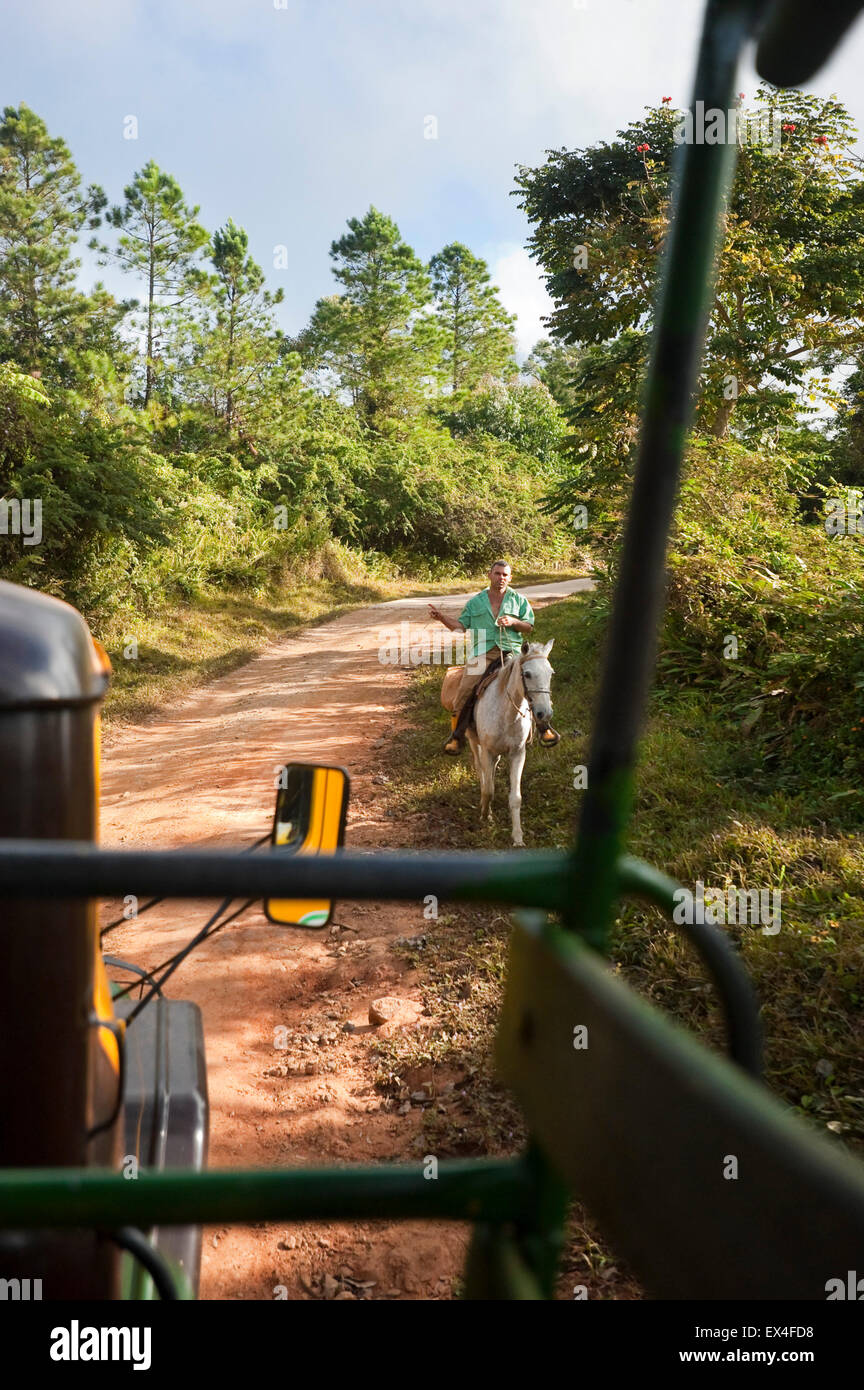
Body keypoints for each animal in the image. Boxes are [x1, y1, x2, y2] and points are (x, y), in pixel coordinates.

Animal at [466, 636, 555, 845]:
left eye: (551, 673)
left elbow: (515, 797)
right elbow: (488, 790)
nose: (545, 713)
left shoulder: (517, 753)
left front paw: (517, 836)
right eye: (527, 674)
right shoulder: (487, 750)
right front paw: (485, 816)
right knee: (480, 770)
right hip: (474, 742)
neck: (506, 714)